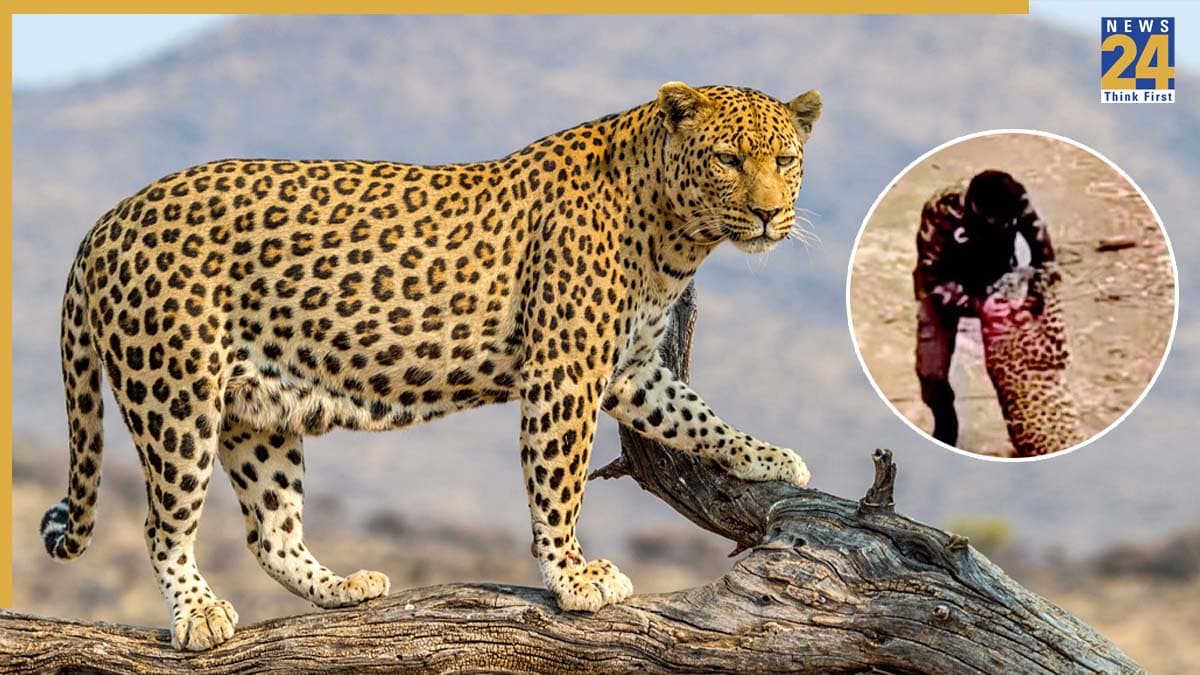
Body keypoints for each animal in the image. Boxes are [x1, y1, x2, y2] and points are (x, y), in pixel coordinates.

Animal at [40, 82, 823, 650]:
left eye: (784, 161)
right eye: (728, 160)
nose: (768, 214)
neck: (675, 237)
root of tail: (105, 222)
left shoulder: (629, 368)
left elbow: (695, 414)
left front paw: (768, 457)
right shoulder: (565, 371)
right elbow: (559, 483)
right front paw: (572, 576)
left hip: (256, 412)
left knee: (271, 532)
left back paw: (341, 588)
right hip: (175, 395)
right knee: (163, 524)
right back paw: (198, 616)